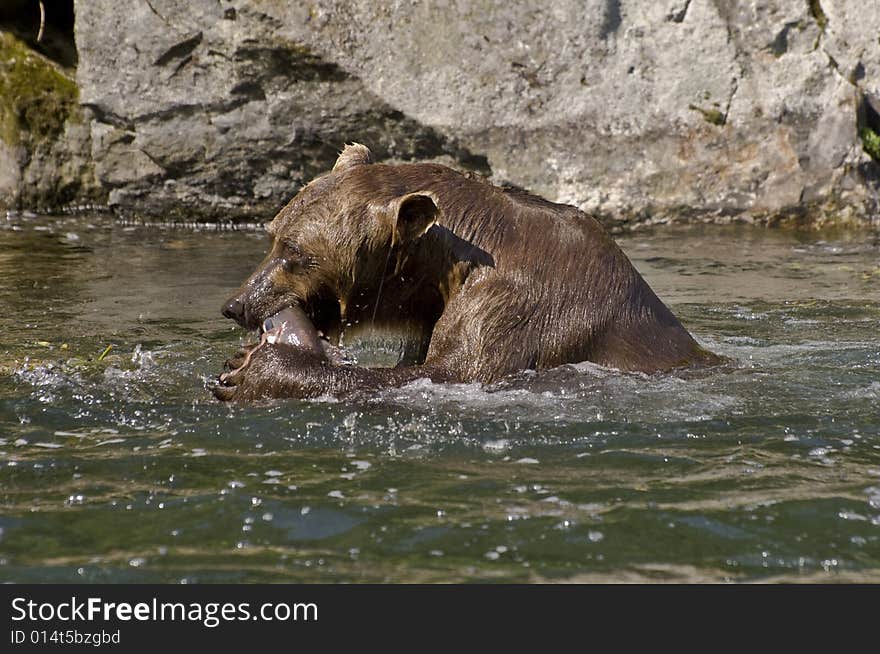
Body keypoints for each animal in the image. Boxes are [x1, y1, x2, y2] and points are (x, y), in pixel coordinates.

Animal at [213, 143, 720, 400]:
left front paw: (252, 368)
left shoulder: (514, 305)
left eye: (295, 251)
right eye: (273, 233)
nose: (237, 304)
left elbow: (452, 372)